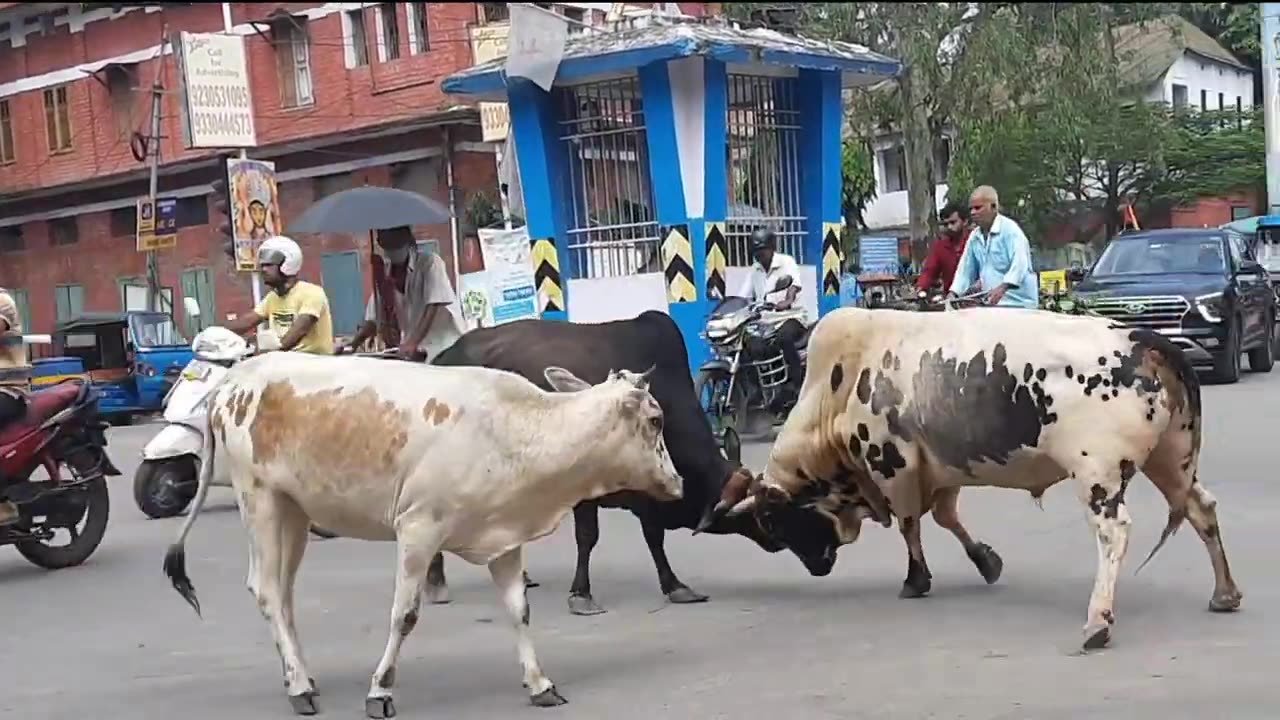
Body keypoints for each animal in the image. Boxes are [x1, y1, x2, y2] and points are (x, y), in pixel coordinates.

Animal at [163, 351, 686, 712]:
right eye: (656, 419)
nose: (678, 482)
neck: (516, 429)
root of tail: (235, 377)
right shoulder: (417, 530)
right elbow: (405, 615)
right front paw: (380, 691)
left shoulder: (504, 538)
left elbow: (519, 610)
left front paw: (540, 684)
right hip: (261, 501)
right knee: (268, 589)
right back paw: (299, 688)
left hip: (294, 512)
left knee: (284, 595)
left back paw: (302, 676)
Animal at [424, 308, 778, 609]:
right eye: (749, 514)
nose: (775, 541)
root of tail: (443, 355)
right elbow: (588, 537)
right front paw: (581, 594)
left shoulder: (646, 496)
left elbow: (654, 538)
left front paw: (675, 585)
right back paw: (436, 582)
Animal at [711, 304, 1239, 648]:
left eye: (773, 522)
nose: (816, 567)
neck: (837, 389)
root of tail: (1147, 341)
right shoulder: (941, 469)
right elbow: (947, 519)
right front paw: (985, 560)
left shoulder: (895, 465)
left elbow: (910, 527)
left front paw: (916, 579)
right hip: (1170, 462)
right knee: (1201, 508)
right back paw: (1225, 593)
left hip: (1098, 474)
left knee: (1114, 533)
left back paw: (1098, 621)